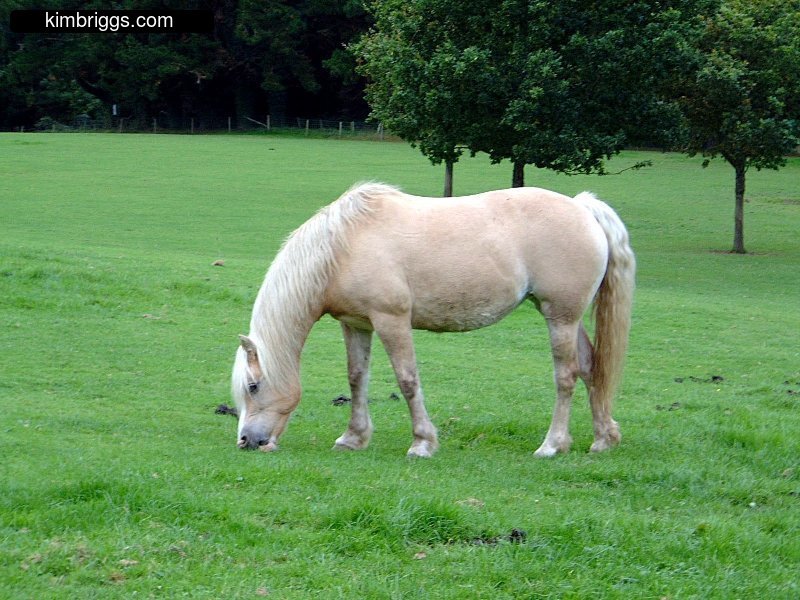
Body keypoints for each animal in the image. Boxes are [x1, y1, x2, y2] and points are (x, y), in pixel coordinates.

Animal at [231, 183, 635, 458]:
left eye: (253, 386)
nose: (247, 440)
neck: (343, 245)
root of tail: (582, 207)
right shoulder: (357, 324)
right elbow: (357, 379)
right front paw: (353, 438)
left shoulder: (391, 320)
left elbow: (408, 381)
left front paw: (422, 443)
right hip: (567, 317)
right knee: (590, 368)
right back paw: (603, 439)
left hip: (561, 318)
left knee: (566, 377)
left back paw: (552, 445)